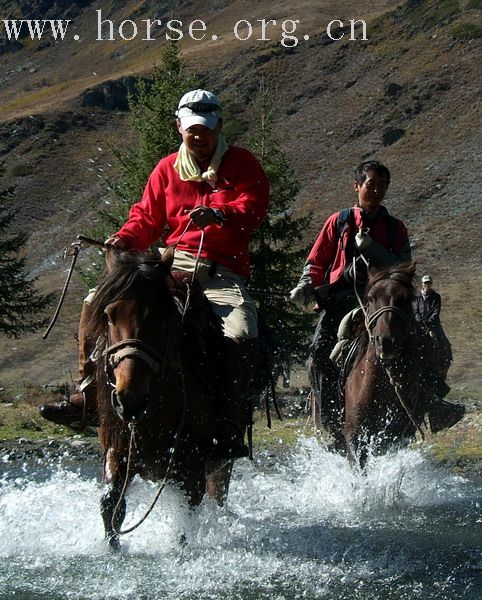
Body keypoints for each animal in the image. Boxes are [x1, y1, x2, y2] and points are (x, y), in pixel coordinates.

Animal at [86, 248, 239, 548]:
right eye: (108, 315)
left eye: (161, 314)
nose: (130, 400)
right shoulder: (118, 449)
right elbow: (110, 504)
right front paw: (113, 548)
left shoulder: (192, 465)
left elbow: (187, 517)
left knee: (219, 493)